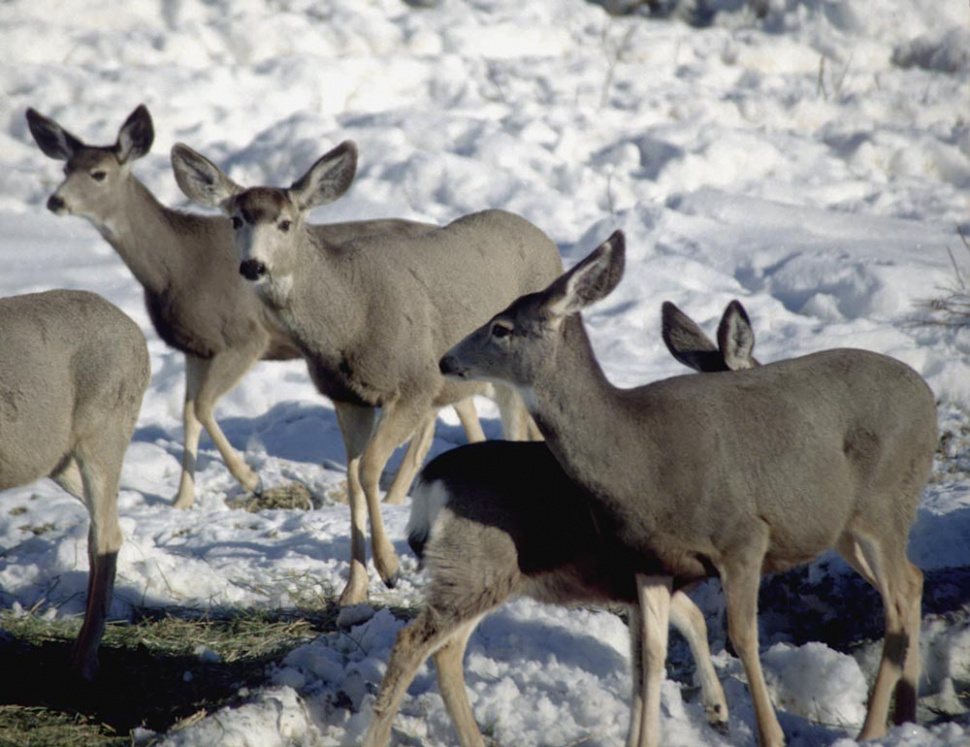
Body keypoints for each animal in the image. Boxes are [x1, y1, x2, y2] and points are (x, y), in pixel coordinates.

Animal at [0, 289, 149, 680]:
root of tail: (138, 335)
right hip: (60, 459)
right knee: (105, 526)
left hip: (104, 430)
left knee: (106, 534)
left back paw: (84, 661)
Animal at [25, 104, 489, 511]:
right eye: (65, 169)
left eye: (98, 173)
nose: (55, 201)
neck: (174, 265)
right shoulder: (197, 347)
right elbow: (188, 414)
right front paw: (181, 501)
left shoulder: (245, 338)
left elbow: (202, 408)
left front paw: (251, 479)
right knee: (454, 403)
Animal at [169, 141, 563, 607]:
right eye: (235, 219)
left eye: (285, 223)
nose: (253, 266)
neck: (350, 318)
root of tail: (546, 239)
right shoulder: (346, 397)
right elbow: (353, 476)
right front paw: (353, 590)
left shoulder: (415, 384)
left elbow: (370, 468)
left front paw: (391, 568)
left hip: (517, 374)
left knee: (519, 433)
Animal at [361, 300, 760, 747]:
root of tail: (432, 480)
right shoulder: (650, 569)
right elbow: (676, 637)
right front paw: (715, 710)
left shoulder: (640, 581)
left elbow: (672, 636)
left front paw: (717, 710)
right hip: (476, 567)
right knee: (413, 642)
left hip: (482, 574)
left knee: (446, 650)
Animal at [438, 230, 937, 747]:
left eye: (501, 327)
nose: (445, 359)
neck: (638, 457)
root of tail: (927, 396)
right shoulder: (649, 559)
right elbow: (650, 652)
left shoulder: (743, 537)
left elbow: (742, 637)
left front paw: (769, 734)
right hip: (844, 527)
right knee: (913, 580)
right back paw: (905, 715)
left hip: (883, 503)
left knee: (898, 597)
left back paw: (872, 729)